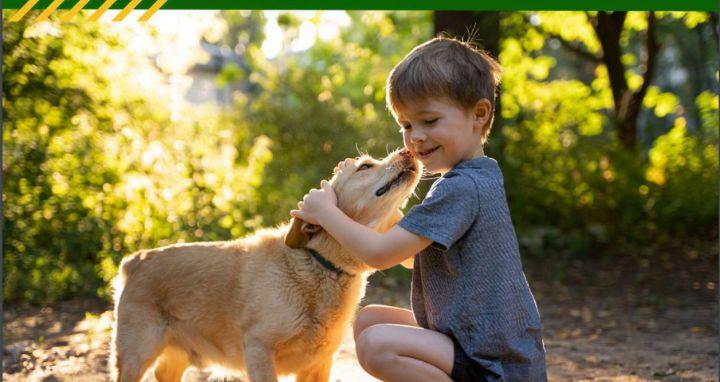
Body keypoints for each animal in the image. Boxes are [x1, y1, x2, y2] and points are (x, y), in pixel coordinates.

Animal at [109, 148, 420, 382]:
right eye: (365, 166)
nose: (408, 150)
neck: (320, 265)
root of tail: (135, 260)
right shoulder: (259, 350)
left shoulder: (318, 364)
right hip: (135, 357)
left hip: (176, 358)